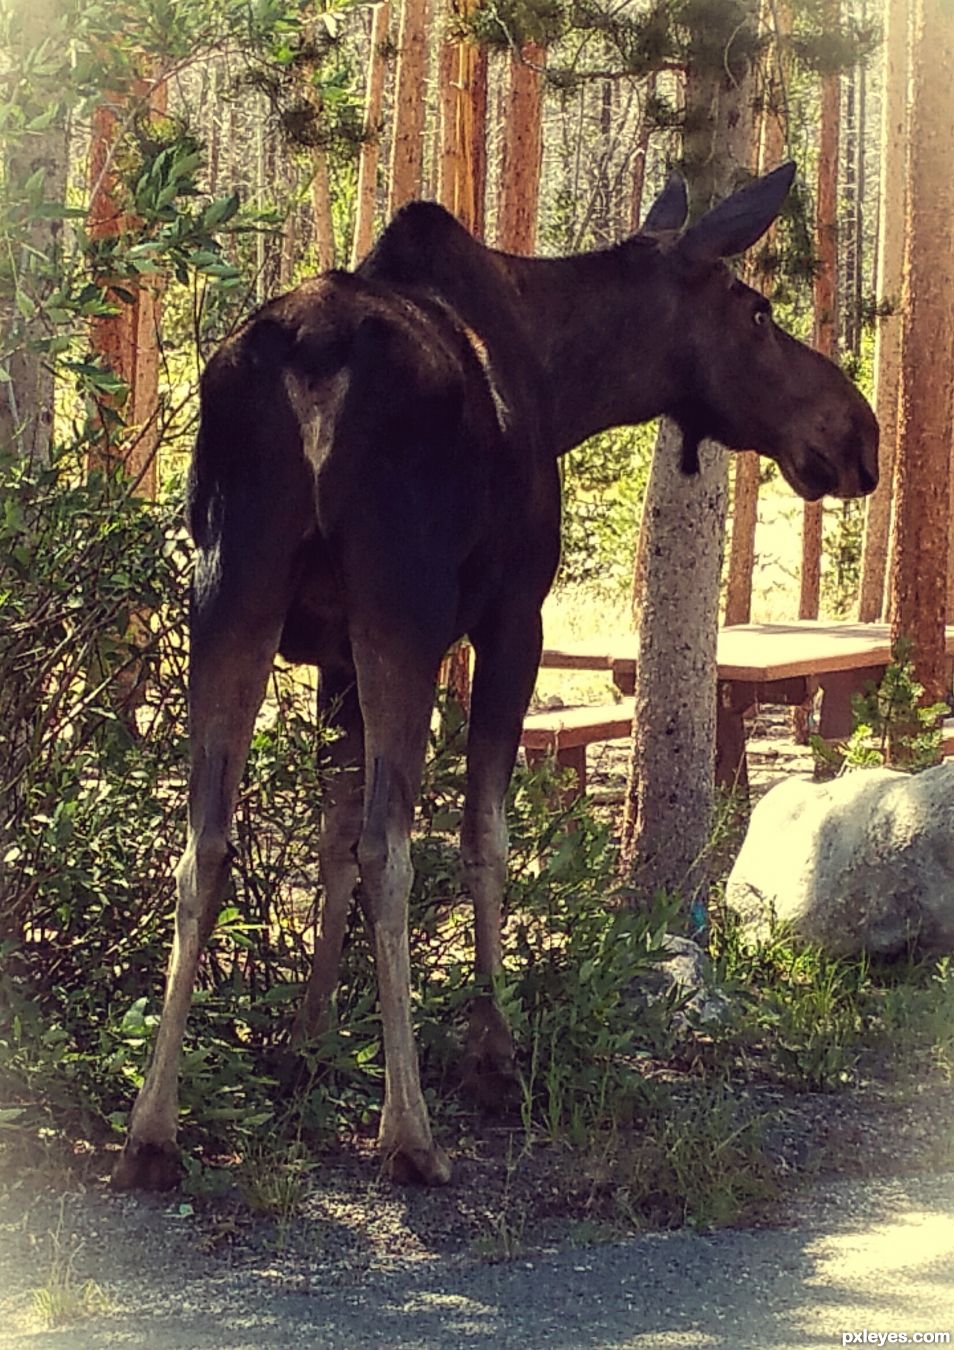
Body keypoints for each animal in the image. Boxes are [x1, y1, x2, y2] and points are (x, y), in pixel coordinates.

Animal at [117, 163, 879, 1188]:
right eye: (756, 311)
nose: (857, 435)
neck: (564, 379)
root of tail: (312, 361)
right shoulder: (513, 617)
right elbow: (481, 833)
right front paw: (491, 1052)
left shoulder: (330, 648)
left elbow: (328, 837)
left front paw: (309, 1042)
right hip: (399, 604)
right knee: (391, 847)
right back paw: (409, 1134)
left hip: (229, 591)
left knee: (205, 843)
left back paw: (151, 1130)